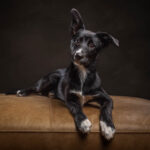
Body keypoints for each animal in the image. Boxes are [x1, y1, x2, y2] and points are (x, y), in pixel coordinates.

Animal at [5, 7, 119, 139]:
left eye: (92, 45)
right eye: (77, 41)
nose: (78, 55)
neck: (82, 73)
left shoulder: (106, 97)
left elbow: (107, 109)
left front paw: (108, 126)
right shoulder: (69, 98)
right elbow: (76, 108)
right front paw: (83, 122)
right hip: (50, 78)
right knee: (35, 88)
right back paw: (22, 91)